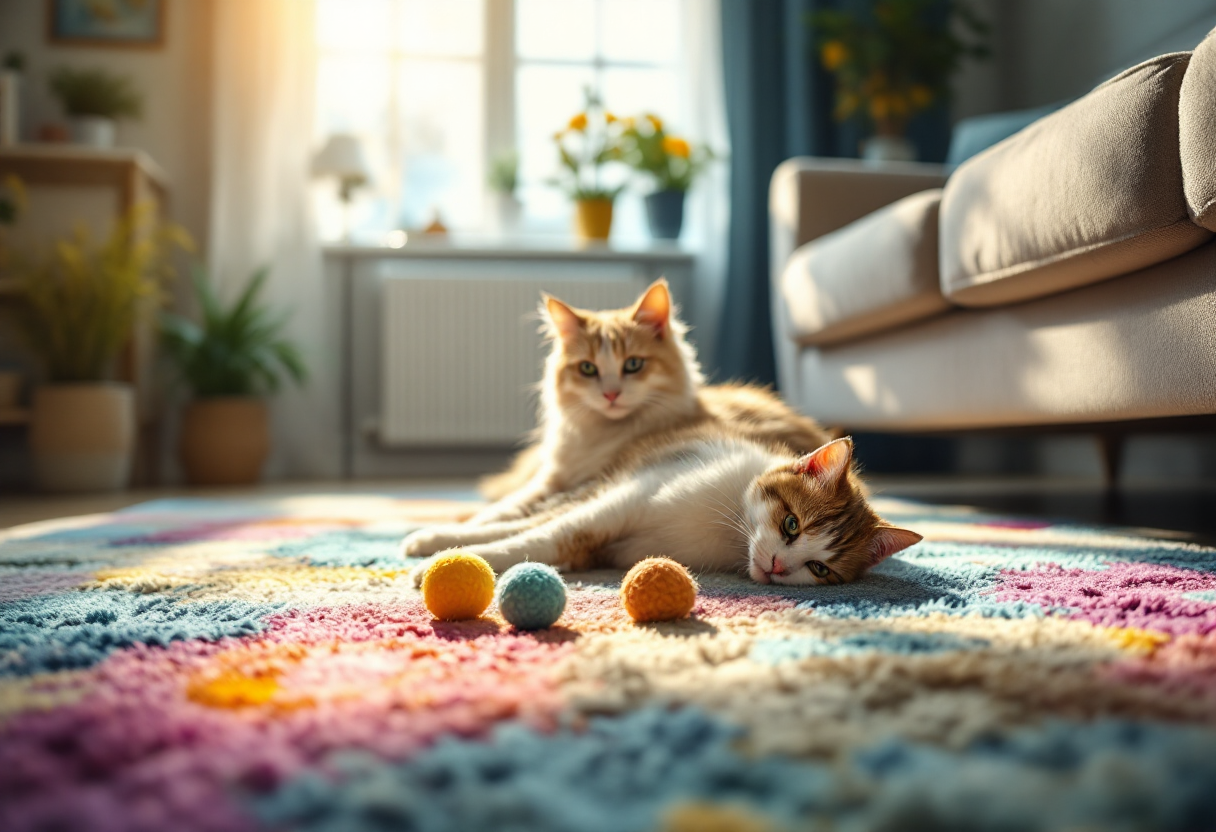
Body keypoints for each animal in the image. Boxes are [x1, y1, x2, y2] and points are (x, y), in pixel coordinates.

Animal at [403, 433, 914, 588]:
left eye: (819, 569)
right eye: (791, 524)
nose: (775, 566)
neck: (730, 532)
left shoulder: (606, 543)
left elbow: (566, 543)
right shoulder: (629, 498)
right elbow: (550, 534)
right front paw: (452, 563)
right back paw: (430, 540)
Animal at [459, 279, 831, 525]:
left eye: (633, 364)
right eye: (588, 368)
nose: (610, 394)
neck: (603, 435)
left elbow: (502, 512)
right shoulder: (551, 479)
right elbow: (504, 506)